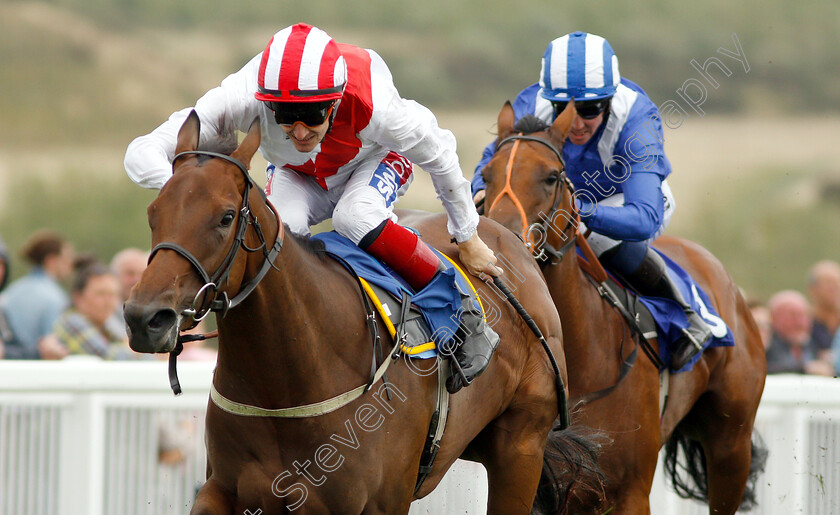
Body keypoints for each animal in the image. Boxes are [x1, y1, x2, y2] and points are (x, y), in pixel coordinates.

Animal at [121, 111, 600, 512]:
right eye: (153, 212)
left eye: (224, 218)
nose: (145, 318)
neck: (285, 384)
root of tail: (512, 240)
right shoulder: (226, 491)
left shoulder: (377, 503)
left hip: (520, 445)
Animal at [482, 102, 772, 515]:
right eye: (486, 175)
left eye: (551, 176)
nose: (500, 241)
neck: (585, 353)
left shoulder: (631, 491)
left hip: (731, 442)